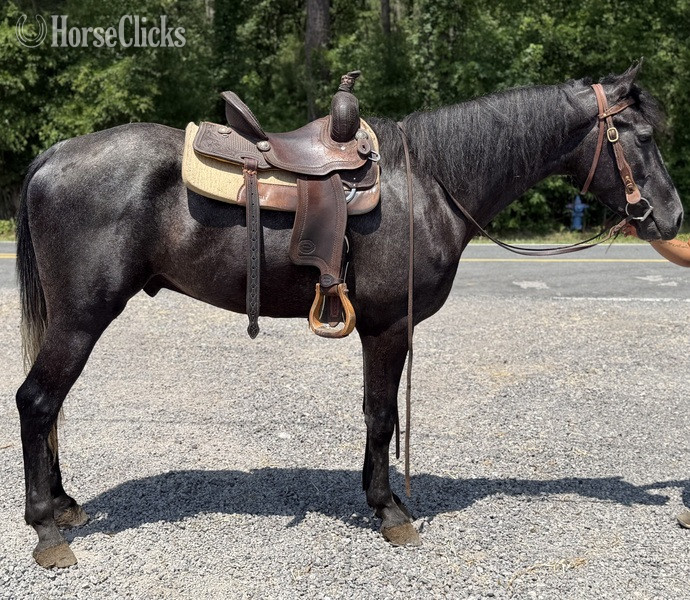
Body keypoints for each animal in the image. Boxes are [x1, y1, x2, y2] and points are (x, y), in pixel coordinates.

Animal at [14, 64, 683, 568]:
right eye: (643, 136)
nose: (671, 217)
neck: (429, 182)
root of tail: (53, 157)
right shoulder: (389, 326)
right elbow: (382, 415)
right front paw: (390, 511)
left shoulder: (379, 329)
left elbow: (373, 412)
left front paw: (375, 496)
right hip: (81, 317)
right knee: (38, 402)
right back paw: (46, 530)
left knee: (50, 407)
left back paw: (65, 505)